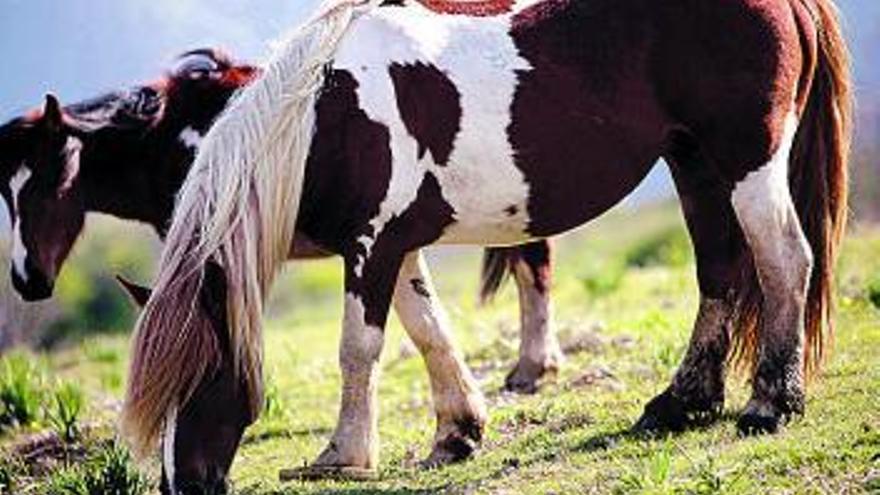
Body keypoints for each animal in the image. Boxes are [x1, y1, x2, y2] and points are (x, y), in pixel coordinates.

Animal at [120, 0, 848, 492]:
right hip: (693, 162)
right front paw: (456, 432)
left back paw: (770, 403)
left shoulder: (371, 247)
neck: (322, 117)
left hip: (746, 159)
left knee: (785, 259)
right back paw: (682, 402)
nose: (185, 486)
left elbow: (359, 350)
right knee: (718, 269)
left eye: (202, 376)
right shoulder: (394, 248)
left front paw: (343, 456)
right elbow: (429, 331)